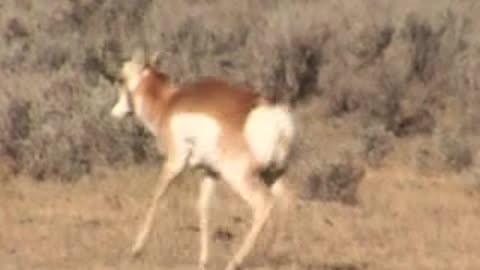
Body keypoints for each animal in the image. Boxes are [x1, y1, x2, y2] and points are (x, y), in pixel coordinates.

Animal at [110, 49, 294, 268]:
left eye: (121, 79)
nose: (114, 112)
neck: (167, 103)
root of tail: (272, 117)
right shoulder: (209, 172)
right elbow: (203, 208)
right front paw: (203, 260)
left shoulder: (174, 163)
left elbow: (156, 196)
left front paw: (136, 249)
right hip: (272, 175)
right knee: (287, 201)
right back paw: (276, 253)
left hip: (240, 178)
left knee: (264, 204)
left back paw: (234, 262)